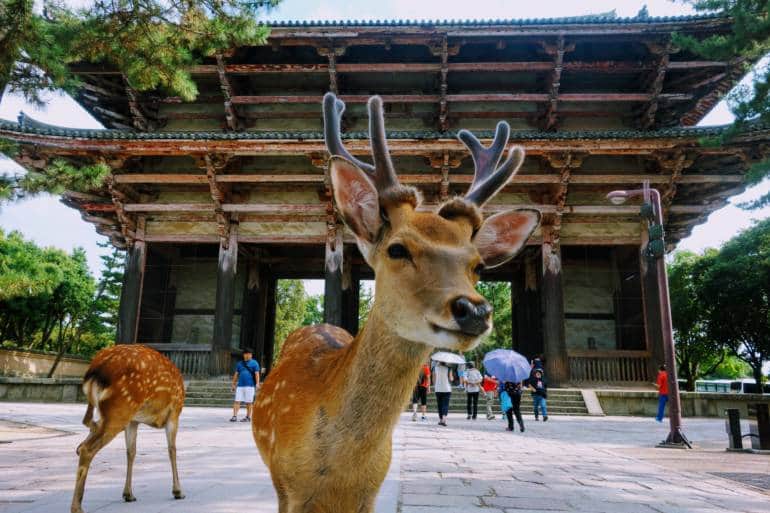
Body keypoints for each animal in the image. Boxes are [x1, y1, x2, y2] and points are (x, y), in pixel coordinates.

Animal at [71, 344, 186, 513]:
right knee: (86, 448)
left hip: (113, 412)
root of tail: (96, 369)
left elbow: (131, 452)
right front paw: (178, 491)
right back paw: (77, 507)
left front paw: (128, 494)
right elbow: (172, 450)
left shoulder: (133, 421)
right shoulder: (174, 413)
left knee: (83, 439)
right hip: (120, 408)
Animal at [251, 92, 540, 513]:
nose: (474, 310)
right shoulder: (288, 489)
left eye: (478, 265)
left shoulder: (369, 494)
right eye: (397, 249)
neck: (338, 474)